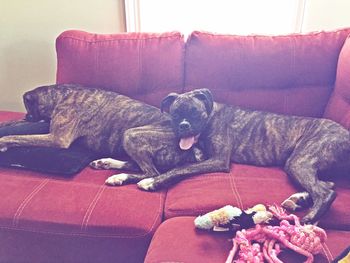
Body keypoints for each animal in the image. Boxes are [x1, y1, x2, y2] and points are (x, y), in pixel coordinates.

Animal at [0, 84, 202, 186]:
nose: (27, 116)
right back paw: (106, 163)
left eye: (28, 107)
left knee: (151, 172)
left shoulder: (57, 139)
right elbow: (15, 127)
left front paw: (3, 143)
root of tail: (194, 150)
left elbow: (18, 137)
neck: (61, 95)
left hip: (131, 134)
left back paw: (118, 177)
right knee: (137, 166)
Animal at [137, 89, 350, 225]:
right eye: (174, 114)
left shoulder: (218, 160)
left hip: (299, 162)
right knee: (325, 184)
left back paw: (310, 218)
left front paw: (153, 182)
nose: (183, 125)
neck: (211, 115)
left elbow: (181, 168)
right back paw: (298, 199)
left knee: (326, 192)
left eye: (195, 113)